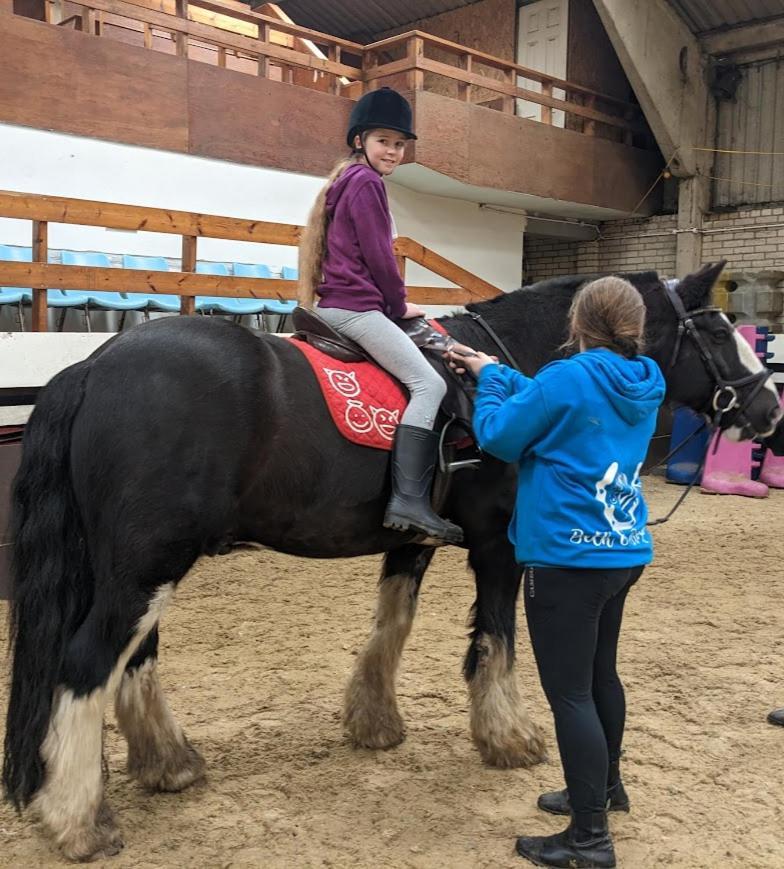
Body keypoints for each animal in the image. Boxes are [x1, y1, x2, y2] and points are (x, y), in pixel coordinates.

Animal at [6, 262, 784, 856]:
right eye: (720, 330)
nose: (770, 408)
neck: (516, 367)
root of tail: (94, 365)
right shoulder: (499, 545)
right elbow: (496, 639)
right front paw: (508, 737)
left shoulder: (410, 541)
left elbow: (392, 626)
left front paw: (374, 722)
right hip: (146, 566)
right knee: (87, 664)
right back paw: (77, 820)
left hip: (141, 566)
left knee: (133, 660)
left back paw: (166, 765)